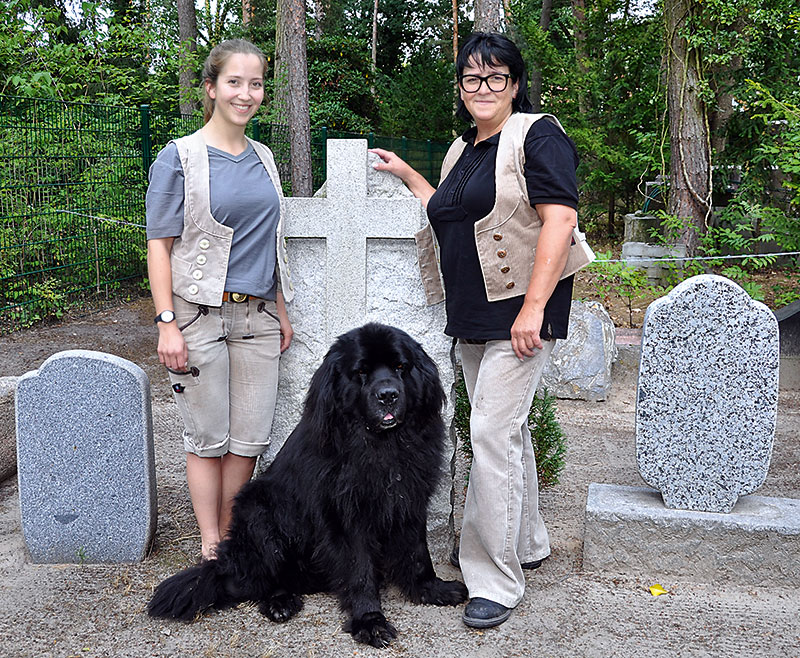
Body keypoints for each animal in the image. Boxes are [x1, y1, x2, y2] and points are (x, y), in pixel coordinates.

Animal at [148, 322, 468, 644]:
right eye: (361, 372)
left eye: (401, 367)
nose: (388, 395)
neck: (381, 444)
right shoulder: (344, 515)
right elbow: (359, 569)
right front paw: (369, 620)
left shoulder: (409, 499)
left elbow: (418, 552)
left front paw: (431, 589)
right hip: (259, 511)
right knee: (255, 580)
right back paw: (279, 602)